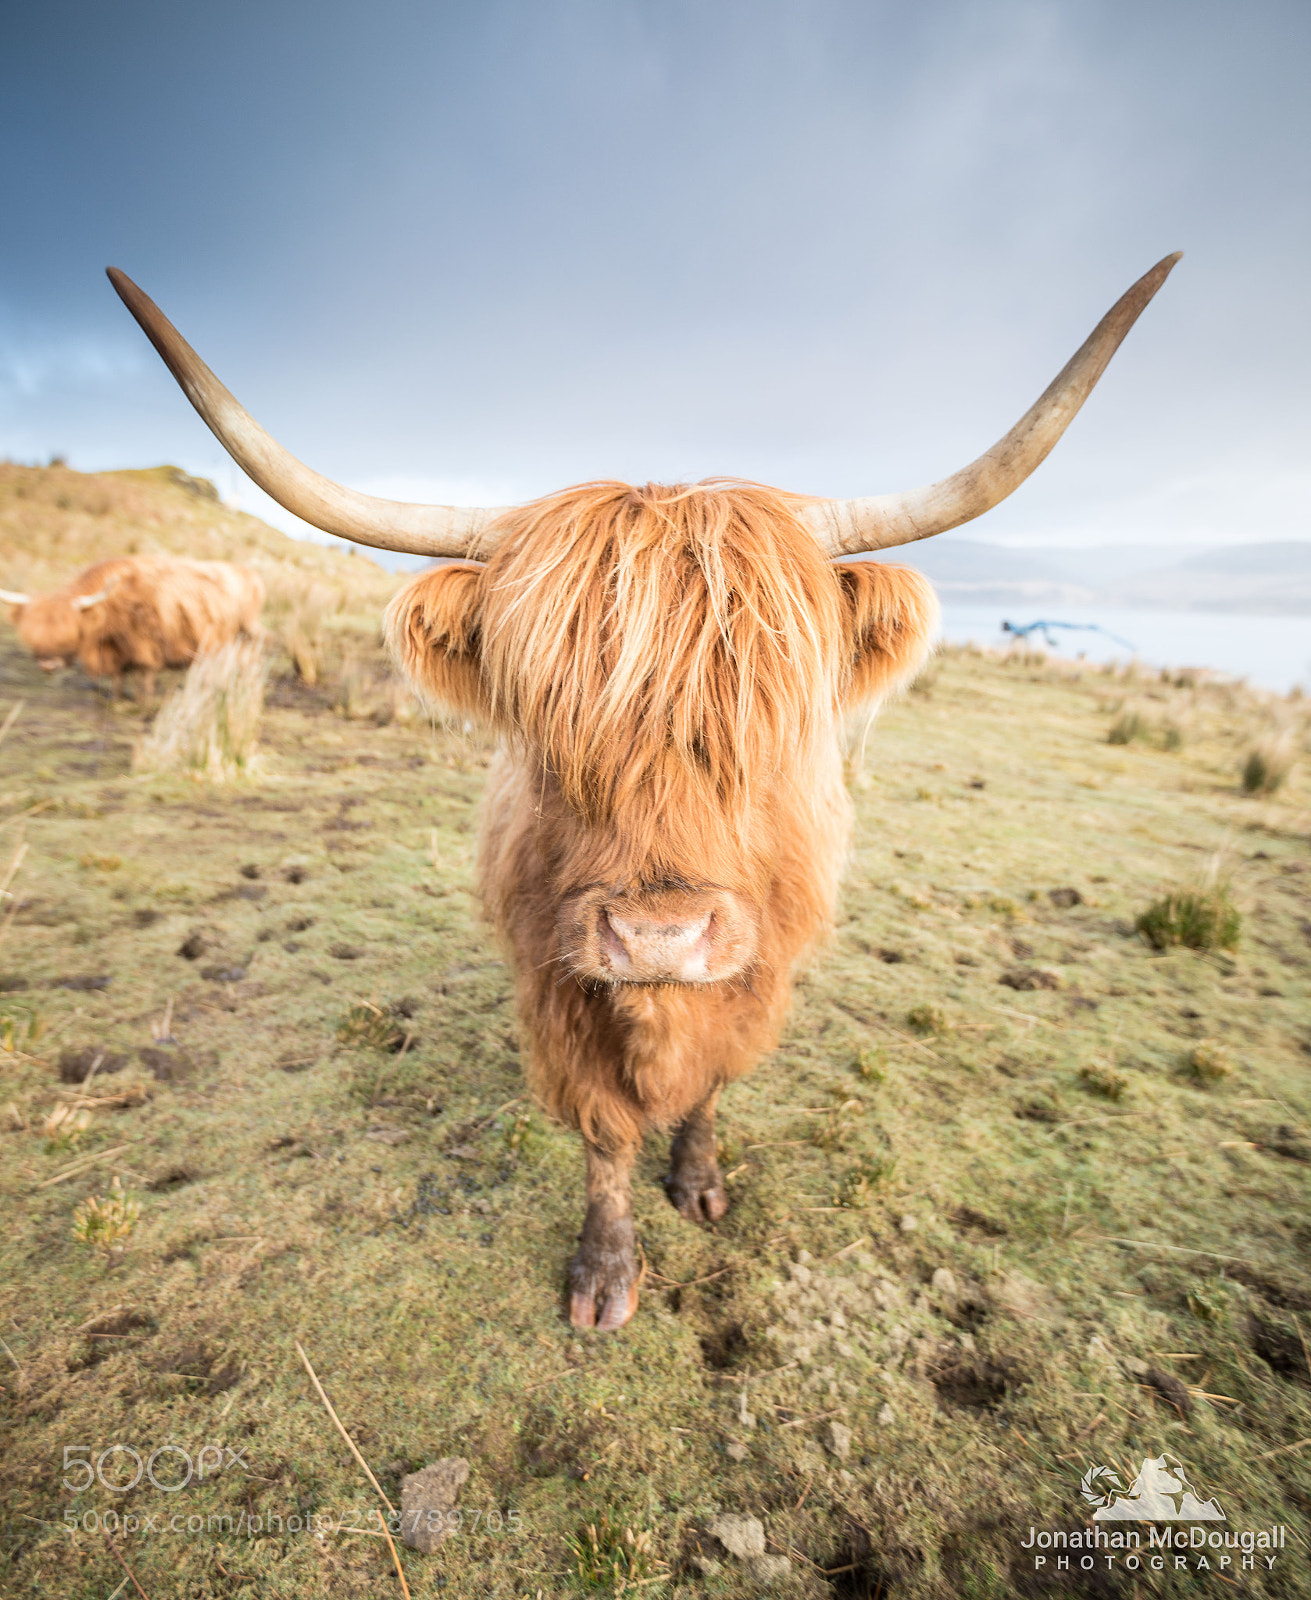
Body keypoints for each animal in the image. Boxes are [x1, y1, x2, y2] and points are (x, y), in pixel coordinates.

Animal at [0, 556, 264, 700]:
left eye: (69, 633)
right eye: (31, 634)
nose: (47, 664)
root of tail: (248, 572)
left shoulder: (146, 648)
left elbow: (145, 680)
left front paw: (145, 698)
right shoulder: (115, 653)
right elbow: (117, 680)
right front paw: (117, 697)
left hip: (243, 632)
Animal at [108, 253, 1179, 1328]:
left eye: (765, 713)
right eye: (548, 719)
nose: (660, 937)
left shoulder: (755, 970)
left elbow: (707, 1084)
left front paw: (698, 1182)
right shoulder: (559, 990)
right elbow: (604, 1131)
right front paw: (604, 1270)